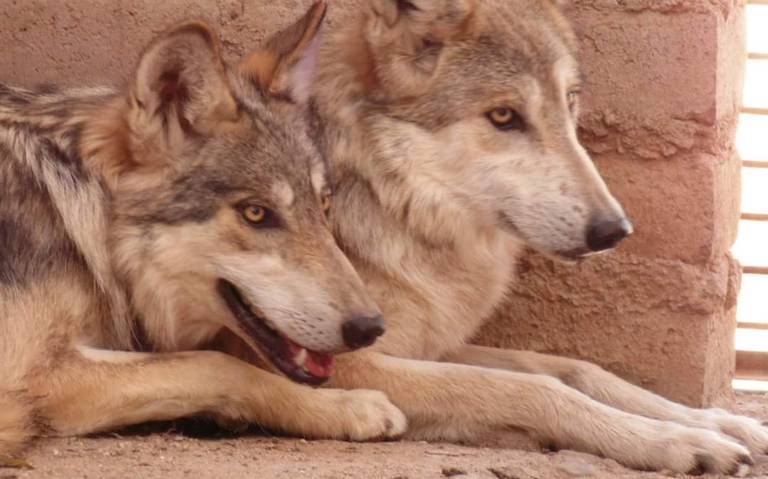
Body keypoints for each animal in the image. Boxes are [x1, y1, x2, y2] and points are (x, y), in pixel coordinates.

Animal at [0, 5, 408, 460]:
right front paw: (349, 406)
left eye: (323, 207)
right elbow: (219, 364)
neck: (73, 213)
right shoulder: (31, 374)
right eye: (256, 213)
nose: (369, 327)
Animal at [249, 0, 764, 476]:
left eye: (569, 101)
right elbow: (534, 387)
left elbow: (576, 368)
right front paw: (674, 440)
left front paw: (717, 422)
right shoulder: (348, 364)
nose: (613, 230)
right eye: (502, 116)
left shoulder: (432, 344)